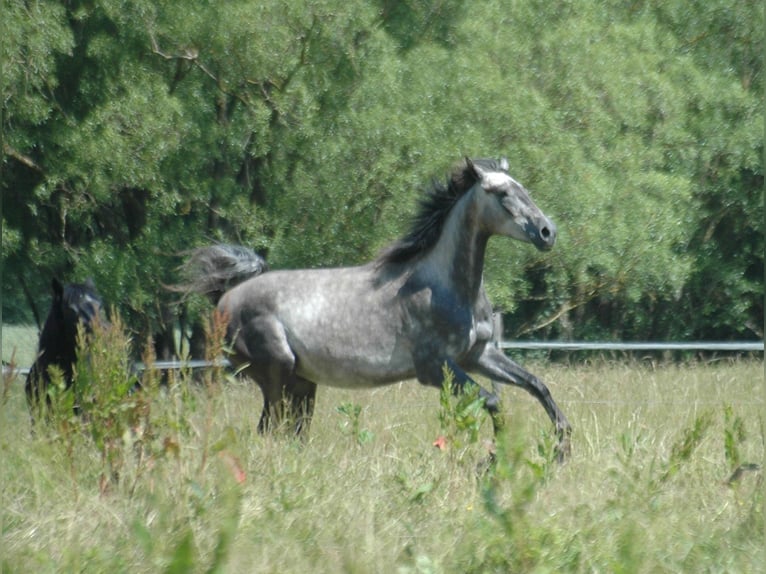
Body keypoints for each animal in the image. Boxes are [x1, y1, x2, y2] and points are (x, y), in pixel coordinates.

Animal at [179, 158, 572, 458]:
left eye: (524, 188)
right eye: (503, 194)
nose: (547, 232)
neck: (443, 288)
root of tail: (226, 297)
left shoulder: (478, 355)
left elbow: (538, 386)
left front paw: (562, 447)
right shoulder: (435, 368)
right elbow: (492, 402)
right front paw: (495, 458)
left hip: (302, 383)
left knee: (291, 432)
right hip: (277, 375)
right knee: (270, 430)